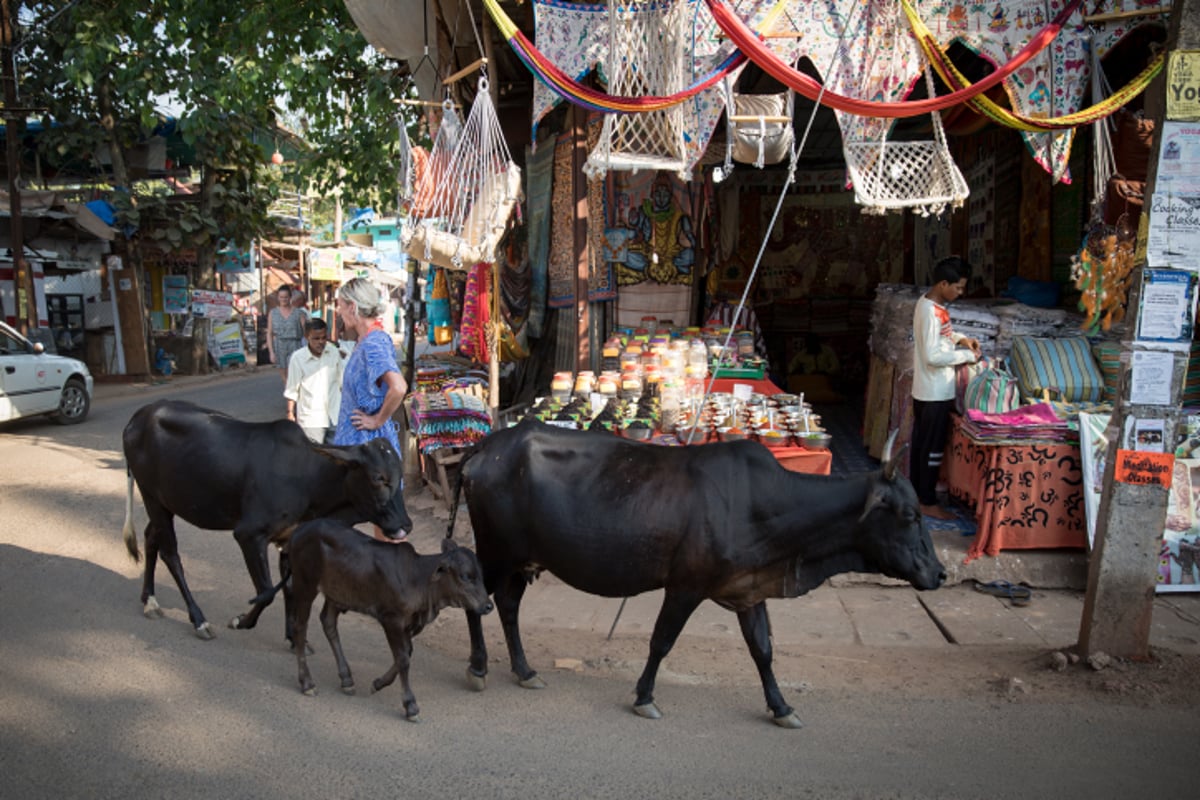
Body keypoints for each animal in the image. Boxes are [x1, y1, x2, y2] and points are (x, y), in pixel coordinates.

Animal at [121, 402, 412, 642]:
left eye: (400, 476)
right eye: (378, 478)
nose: (405, 525)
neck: (309, 478)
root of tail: (138, 416)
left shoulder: (289, 537)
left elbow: (290, 589)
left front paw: (294, 637)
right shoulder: (249, 534)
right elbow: (267, 591)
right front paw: (241, 621)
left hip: (164, 503)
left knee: (151, 538)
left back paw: (150, 601)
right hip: (151, 496)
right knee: (170, 554)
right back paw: (199, 620)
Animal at [277, 522, 492, 724]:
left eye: (481, 575)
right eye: (465, 576)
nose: (488, 605)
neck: (419, 580)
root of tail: (298, 531)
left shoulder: (408, 624)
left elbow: (405, 653)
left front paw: (378, 683)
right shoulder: (391, 619)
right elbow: (403, 659)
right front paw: (410, 706)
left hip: (336, 594)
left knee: (328, 623)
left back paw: (346, 680)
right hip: (305, 586)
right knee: (299, 627)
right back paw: (307, 683)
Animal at [451, 422, 945, 729]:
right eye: (910, 514)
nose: (938, 572)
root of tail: (486, 445)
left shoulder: (749, 590)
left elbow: (763, 650)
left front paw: (781, 707)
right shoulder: (686, 586)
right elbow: (661, 641)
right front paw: (644, 698)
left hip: (522, 559)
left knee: (507, 607)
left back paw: (524, 670)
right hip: (494, 552)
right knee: (477, 604)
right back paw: (477, 667)